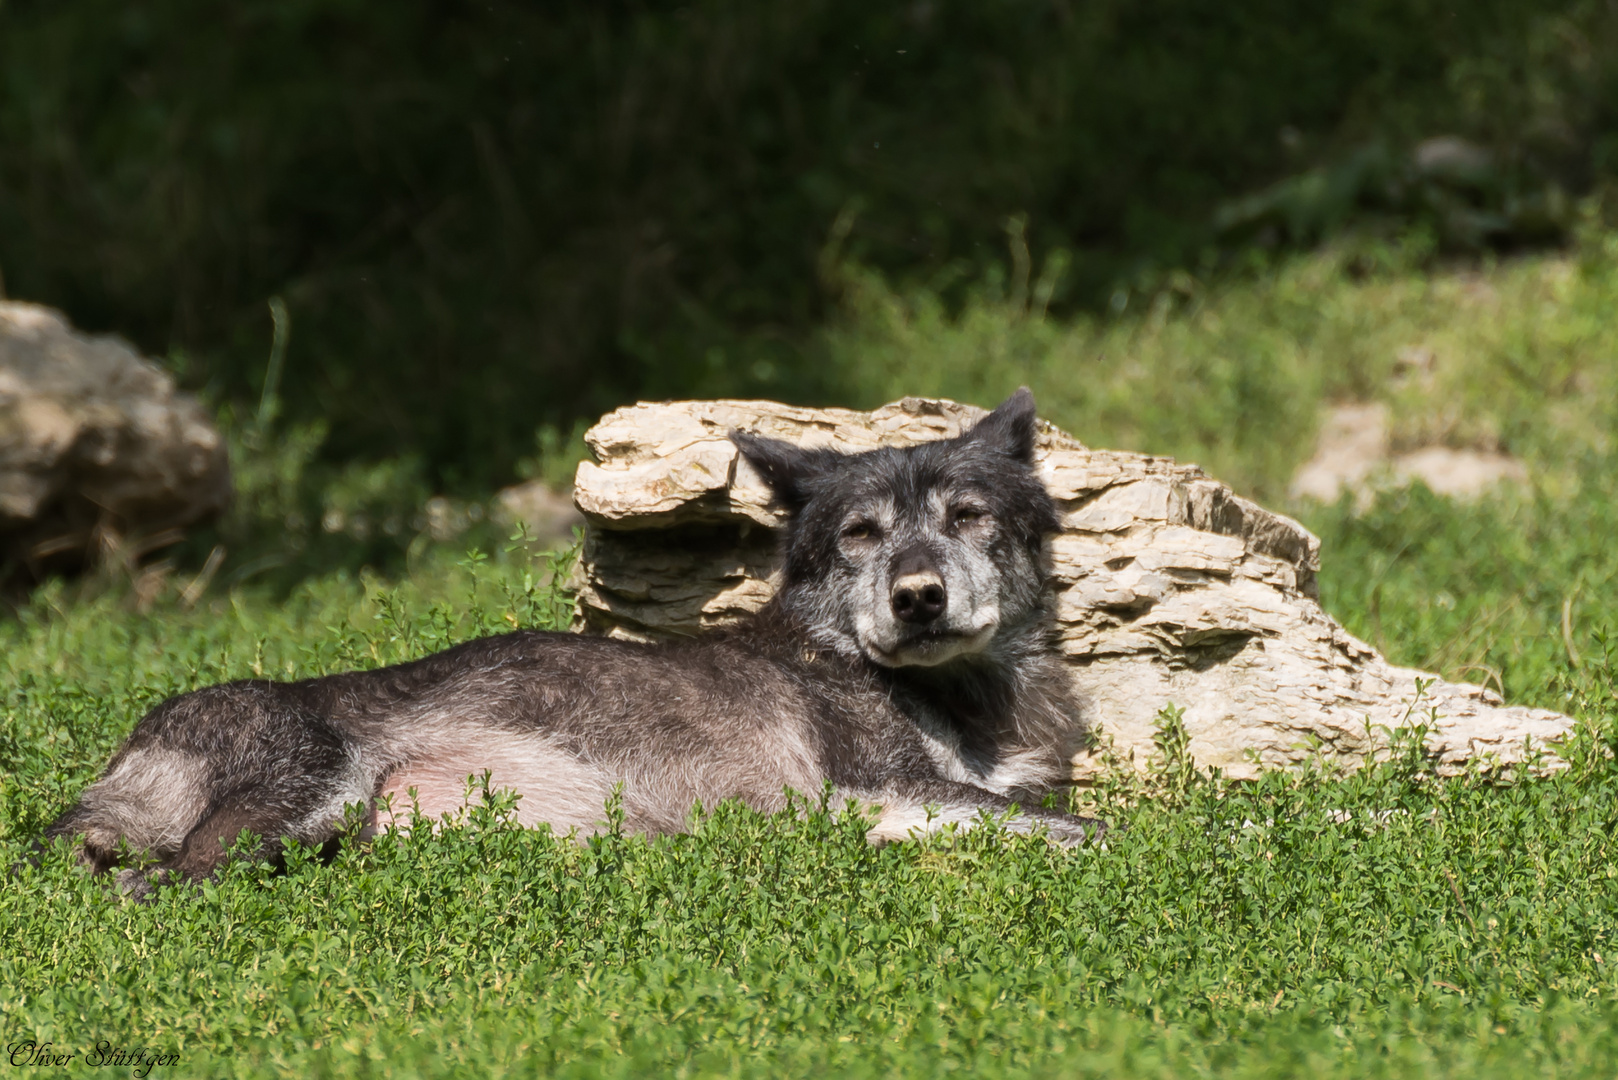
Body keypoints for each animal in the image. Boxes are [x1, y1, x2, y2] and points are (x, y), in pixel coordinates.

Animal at [34, 388, 1100, 893]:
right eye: (861, 535)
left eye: (965, 516)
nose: (917, 599)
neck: (963, 700)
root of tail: (132, 741)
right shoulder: (881, 794)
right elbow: (1095, 831)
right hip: (301, 805)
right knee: (151, 893)